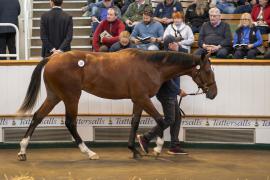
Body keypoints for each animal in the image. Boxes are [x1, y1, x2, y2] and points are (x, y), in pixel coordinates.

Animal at [16, 48, 216, 161]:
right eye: (207, 70)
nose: (214, 93)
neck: (151, 66)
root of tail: (52, 58)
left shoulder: (138, 100)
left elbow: (135, 122)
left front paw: (135, 149)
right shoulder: (143, 98)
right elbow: (161, 120)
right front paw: (156, 148)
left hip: (54, 96)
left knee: (37, 117)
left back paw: (23, 151)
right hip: (71, 97)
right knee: (70, 123)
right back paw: (89, 153)